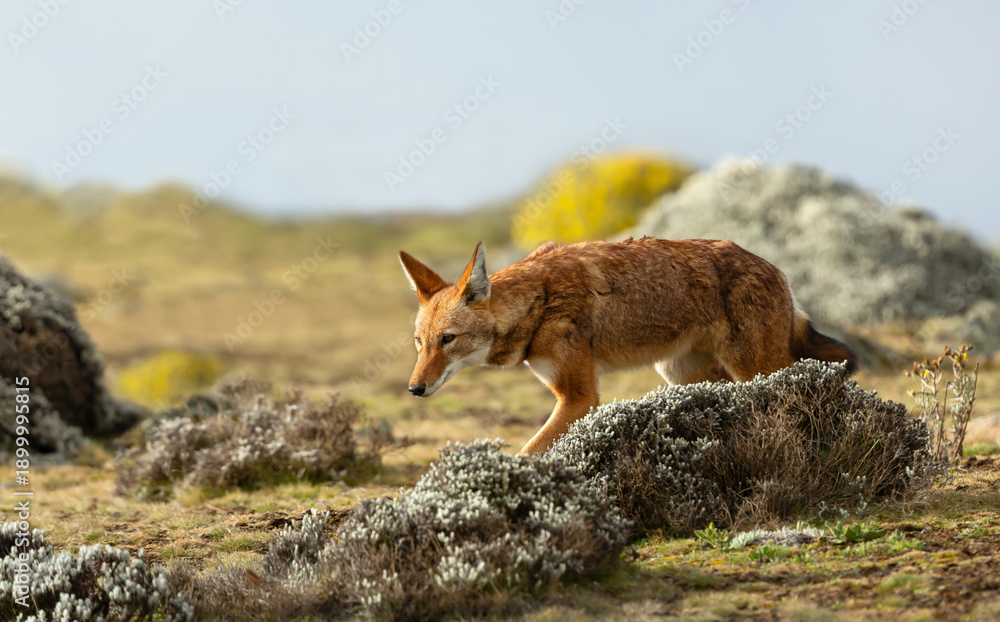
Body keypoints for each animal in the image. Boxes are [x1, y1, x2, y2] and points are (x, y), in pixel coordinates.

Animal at [399, 237, 856, 455]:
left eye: (448, 340)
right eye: (420, 344)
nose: (414, 389)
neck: (537, 303)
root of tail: (778, 271)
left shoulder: (580, 397)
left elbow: (528, 452)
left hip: (758, 370)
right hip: (685, 376)